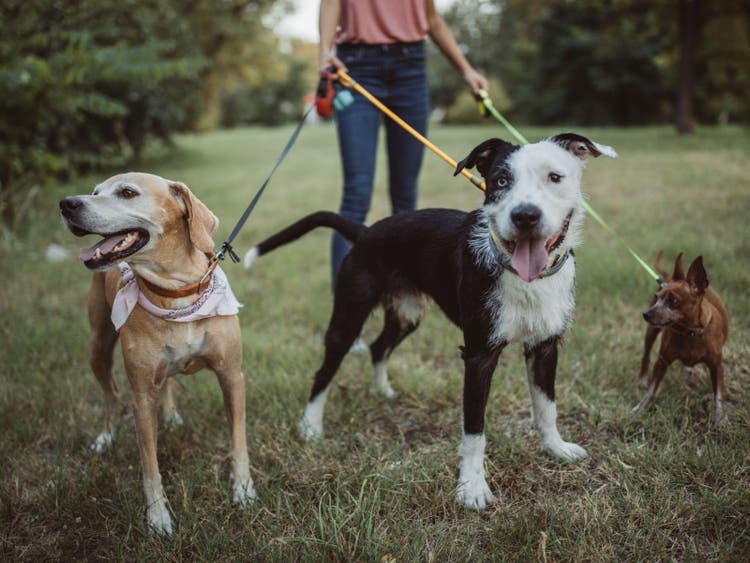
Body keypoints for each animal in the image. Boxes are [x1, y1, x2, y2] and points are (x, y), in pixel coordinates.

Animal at [58, 174, 256, 536]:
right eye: (94, 192)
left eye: (127, 192)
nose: (67, 204)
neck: (176, 293)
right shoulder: (142, 397)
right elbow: (149, 464)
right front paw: (158, 518)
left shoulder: (232, 376)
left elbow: (238, 440)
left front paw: (244, 490)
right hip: (98, 347)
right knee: (111, 395)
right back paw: (106, 437)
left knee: (167, 381)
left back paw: (172, 416)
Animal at [245, 134, 616, 508]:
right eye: (500, 180)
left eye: (555, 177)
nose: (525, 215)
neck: (523, 276)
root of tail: (365, 232)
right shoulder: (479, 355)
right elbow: (474, 430)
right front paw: (472, 487)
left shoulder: (545, 347)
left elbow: (546, 406)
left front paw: (556, 449)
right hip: (349, 316)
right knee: (325, 371)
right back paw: (310, 426)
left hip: (406, 315)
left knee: (379, 347)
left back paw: (382, 391)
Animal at [636, 251, 732, 424]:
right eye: (657, 297)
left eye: (673, 301)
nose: (646, 314)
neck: (691, 333)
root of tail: (667, 277)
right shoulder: (662, 362)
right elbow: (652, 390)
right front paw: (640, 408)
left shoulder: (717, 367)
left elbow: (718, 396)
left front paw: (719, 419)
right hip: (652, 331)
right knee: (646, 355)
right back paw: (642, 379)